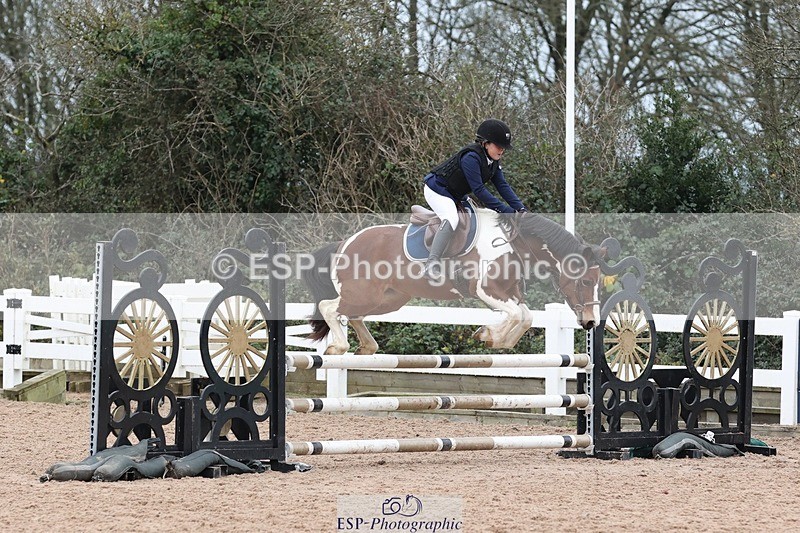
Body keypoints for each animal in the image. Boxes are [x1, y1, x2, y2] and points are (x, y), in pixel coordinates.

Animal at [302, 206, 605, 355]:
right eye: (586, 282)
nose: (591, 322)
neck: (513, 242)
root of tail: (344, 243)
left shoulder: (509, 293)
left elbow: (525, 317)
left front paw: (495, 338)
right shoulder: (486, 291)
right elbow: (518, 315)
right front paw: (488, 334)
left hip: (388, 299)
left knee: (353, 315)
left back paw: (367, 347)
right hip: (365, 295)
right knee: (330, 307)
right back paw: (338, 347)